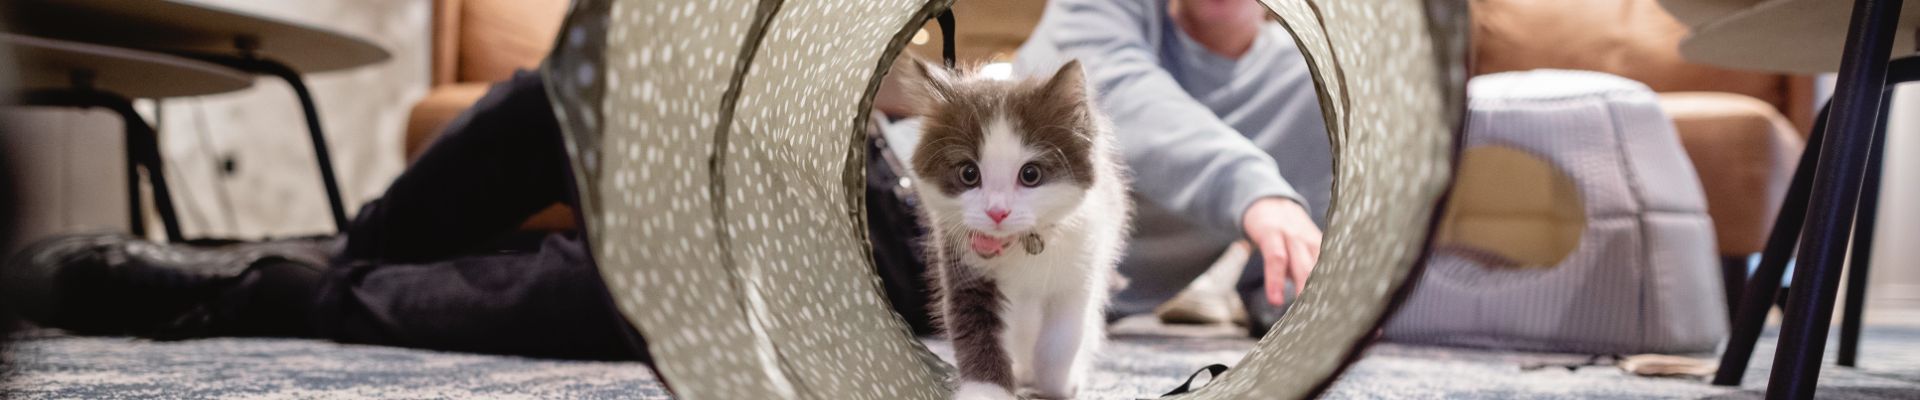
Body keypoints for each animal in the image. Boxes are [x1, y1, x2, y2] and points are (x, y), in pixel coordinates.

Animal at [910, 59, 1128, 400]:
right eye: (969, 173)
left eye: (1030, 174)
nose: (997, 211)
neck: (1022, 244)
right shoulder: (964, 267)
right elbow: (976, 331)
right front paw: (985, 391)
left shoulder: (1079, 272)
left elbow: (1061, 340)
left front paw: (1059, 385)